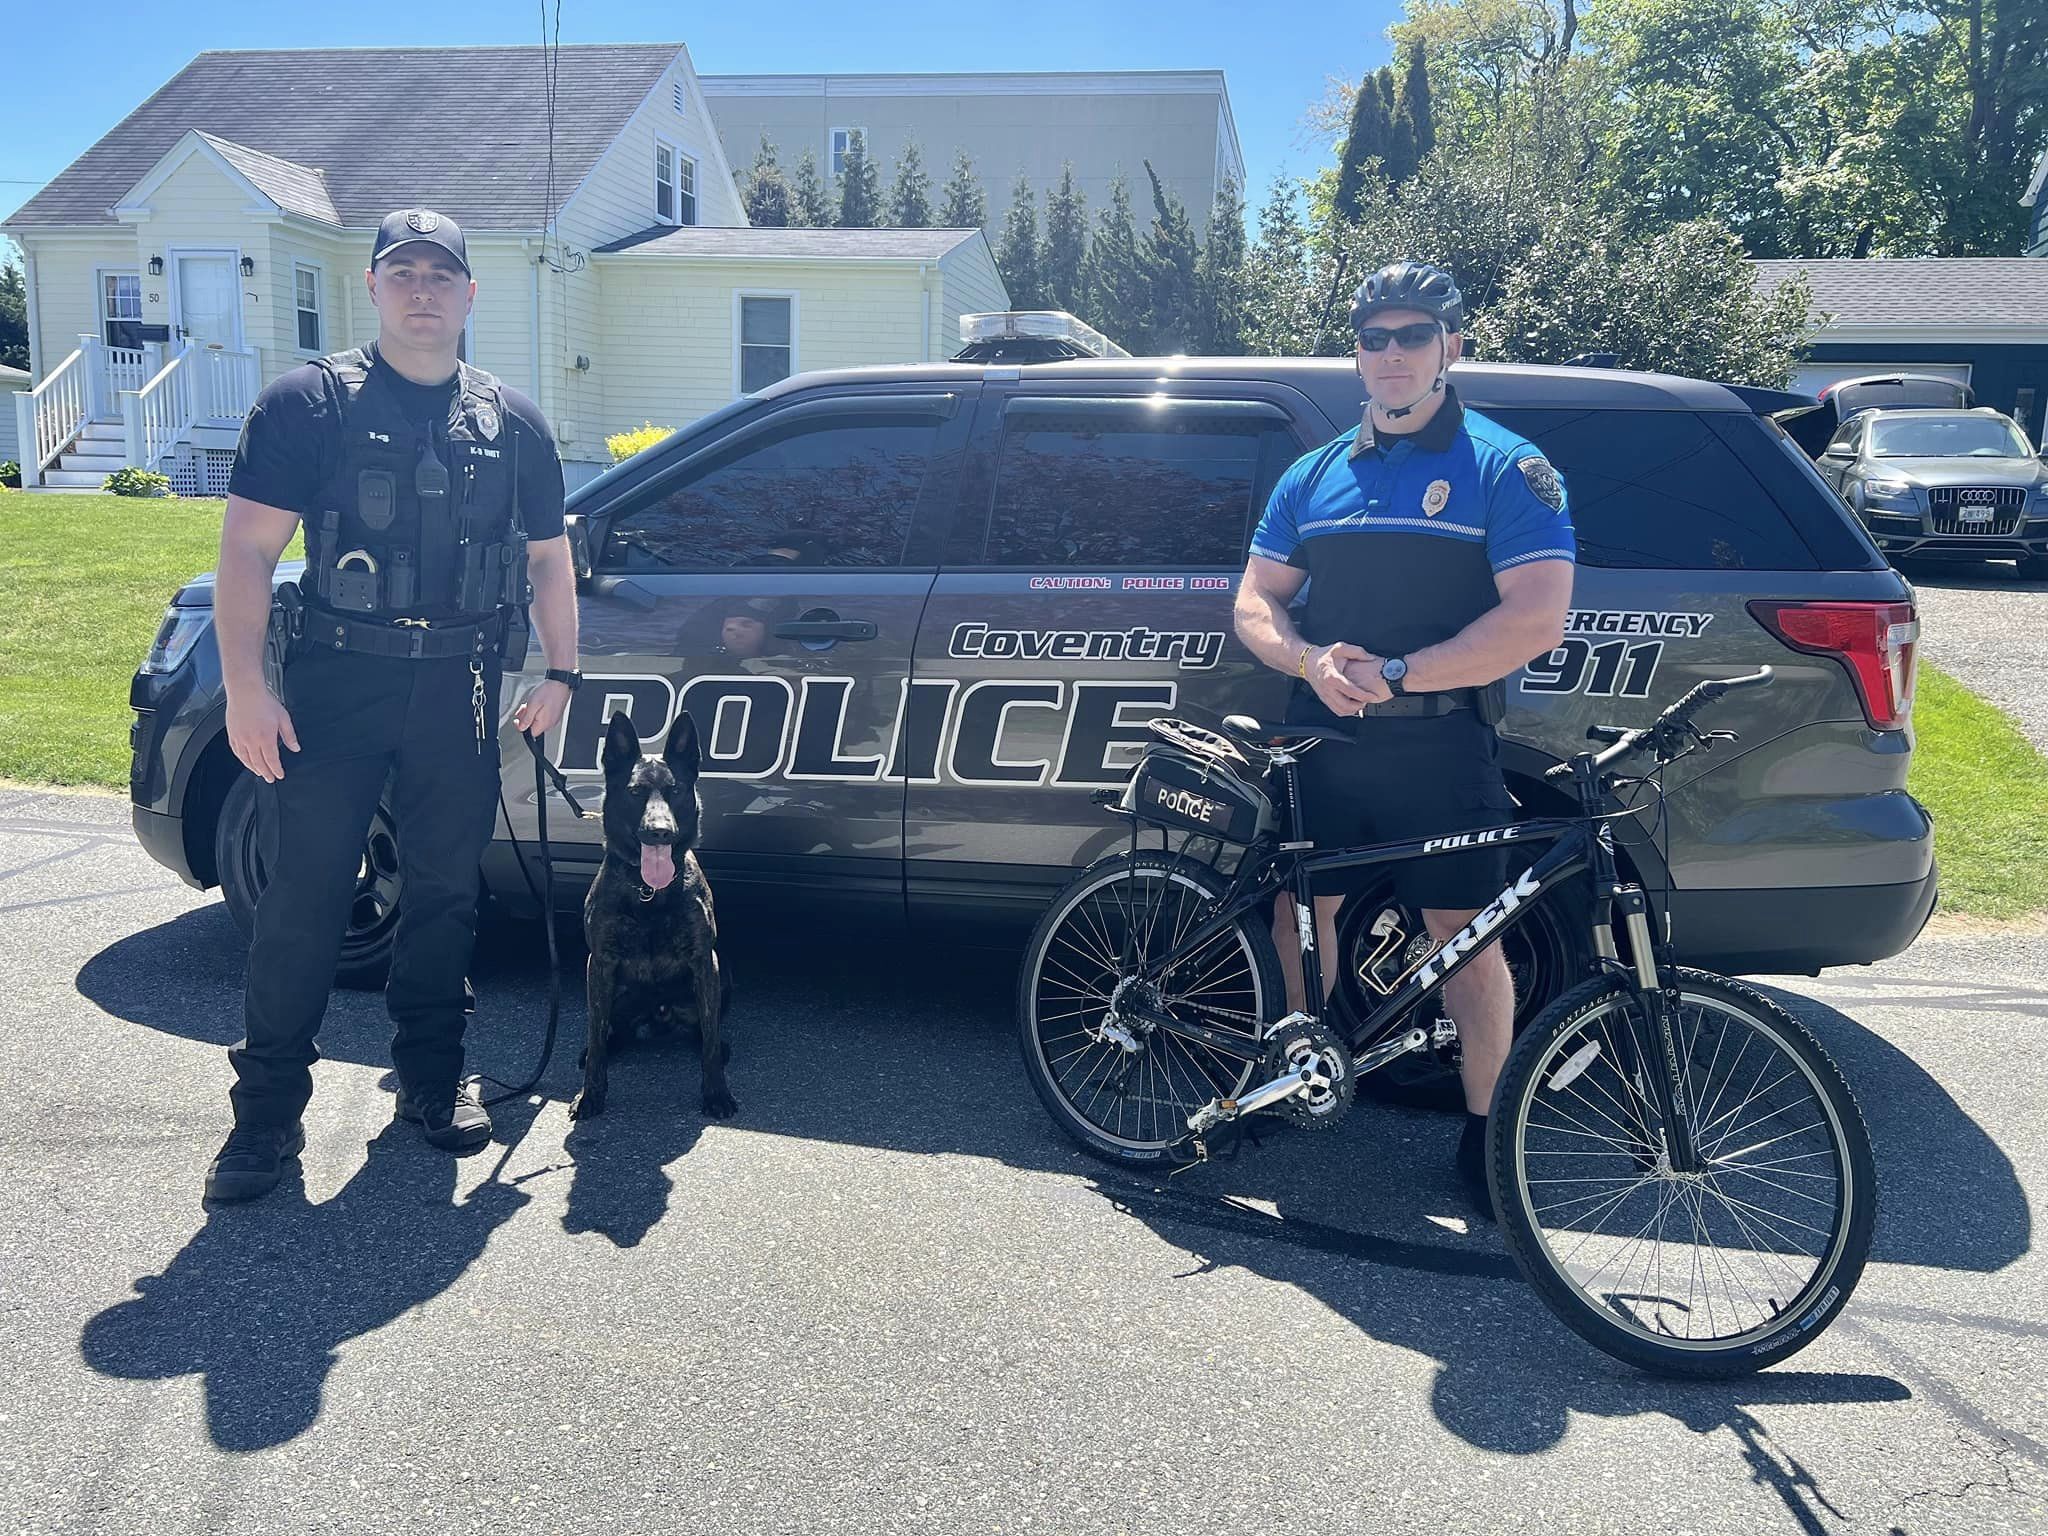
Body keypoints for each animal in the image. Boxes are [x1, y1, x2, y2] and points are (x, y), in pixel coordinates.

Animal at [569, 716, 737, 1122]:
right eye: (634, 792)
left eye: (675, 790)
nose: (660, 831)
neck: (649, 891)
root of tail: (658, 1017)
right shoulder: (599, 963)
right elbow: (594, 1034)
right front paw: (590, 1094)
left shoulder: (704, 960)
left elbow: (709, 1041)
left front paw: (716, 1092)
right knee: (608, 1031)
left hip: (720, 972)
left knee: (705, 1029)